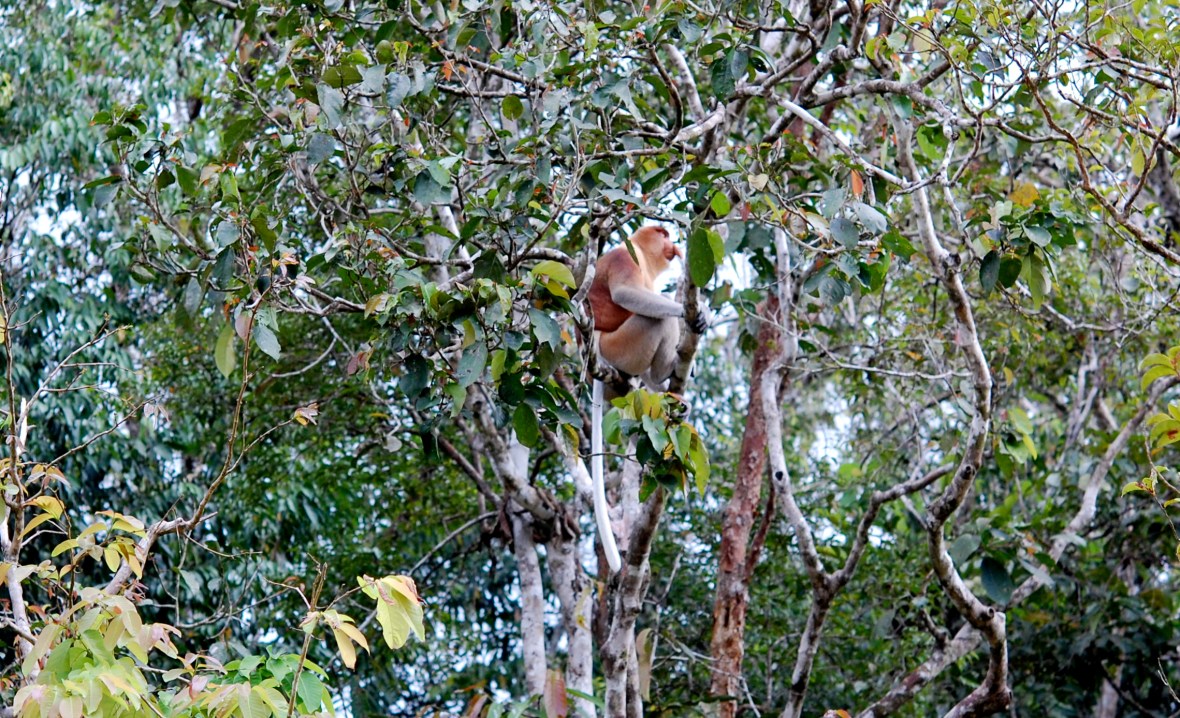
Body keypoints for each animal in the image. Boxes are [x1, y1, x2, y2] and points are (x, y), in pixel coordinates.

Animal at [586, 225, 697, 573]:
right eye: (663, 234)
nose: (673, 244)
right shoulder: (626, 258)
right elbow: (625, 293)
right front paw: (687, 312)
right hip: (620, 347)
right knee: (654, 320)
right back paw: (662, 375)